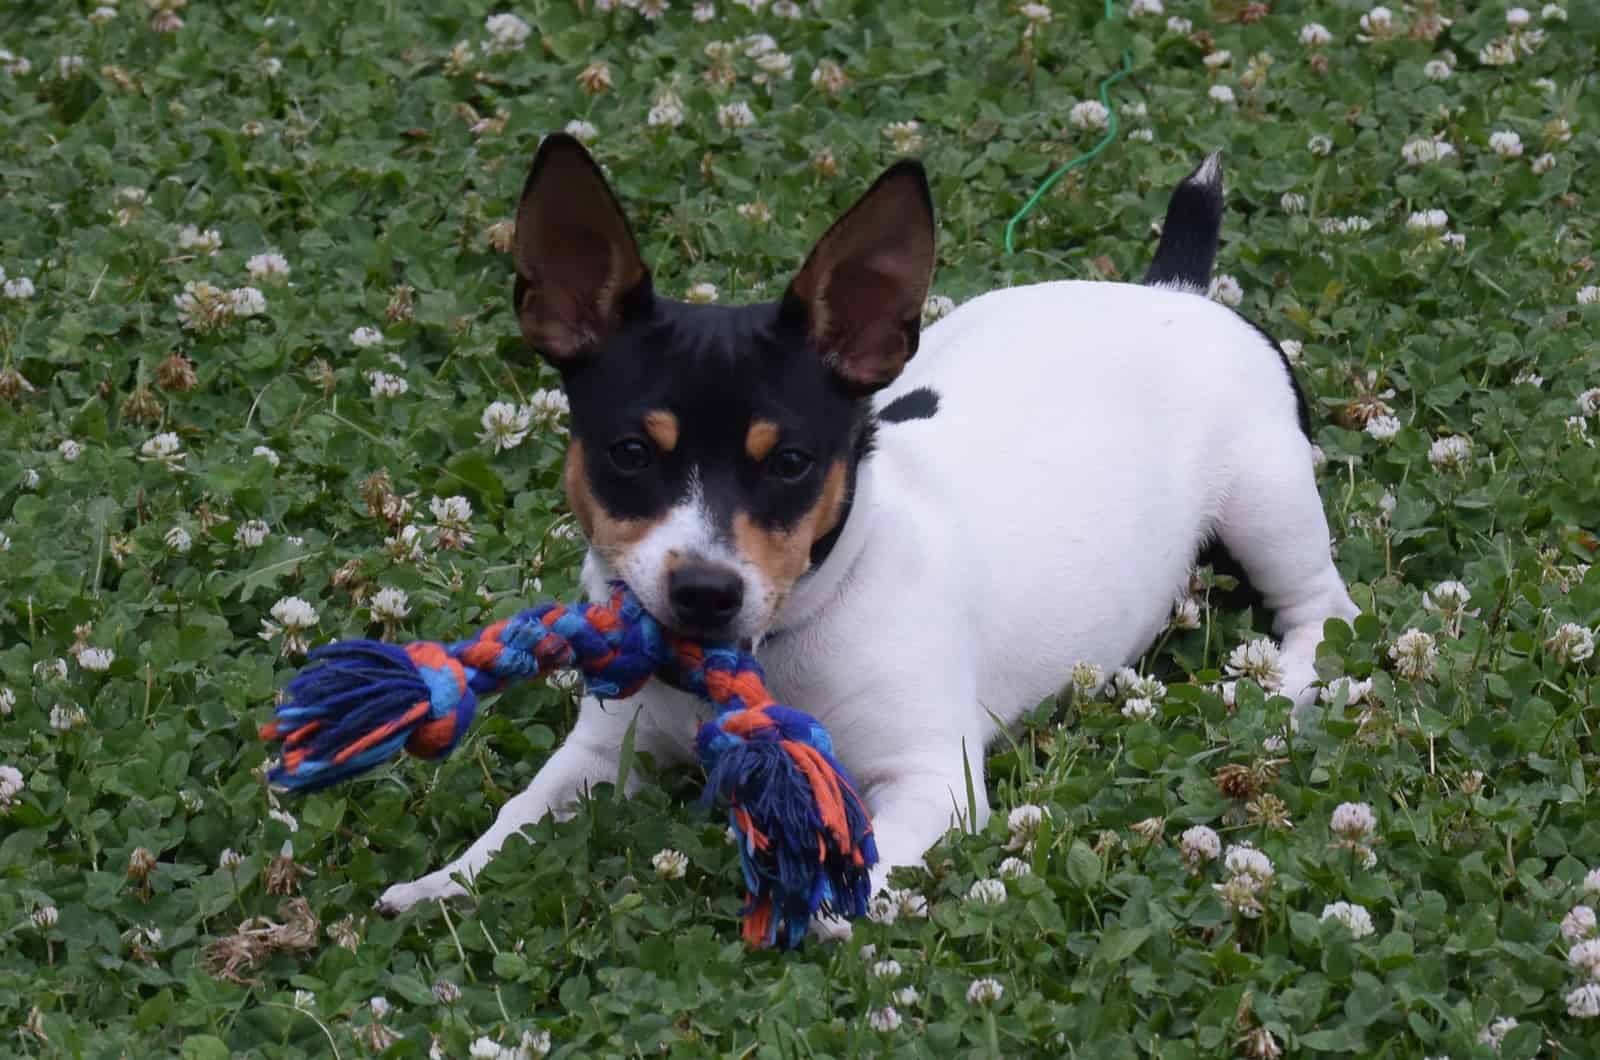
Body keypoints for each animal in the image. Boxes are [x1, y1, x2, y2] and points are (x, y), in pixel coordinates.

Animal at [377, 139, 1363, 922]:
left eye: (790, 463)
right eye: (628, 452)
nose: (704, 593)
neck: (779, 643)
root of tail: (1180, 290)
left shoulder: (931, 778)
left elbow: (874, 857)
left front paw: (829, 912)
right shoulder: (602, 751)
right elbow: (519, 815)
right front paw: (443, 881)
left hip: (1266, 495)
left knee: (1324, 606)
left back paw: (1283, 681)